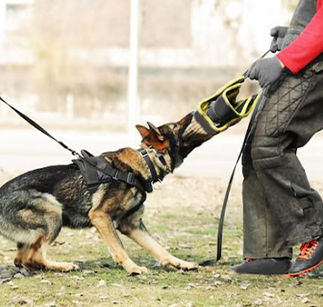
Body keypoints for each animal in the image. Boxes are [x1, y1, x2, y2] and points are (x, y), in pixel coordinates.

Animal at [0, 112, 210, 276]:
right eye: (177, 125)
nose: (194, 112)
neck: (147, 160)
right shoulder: (100, 216)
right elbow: (119, 247)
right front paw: (133, 268)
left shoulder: (131, 225)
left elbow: (159, 248)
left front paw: (181, 263)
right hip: (53, 212)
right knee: (35, 256)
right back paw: (63, 266)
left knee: (22, 259)